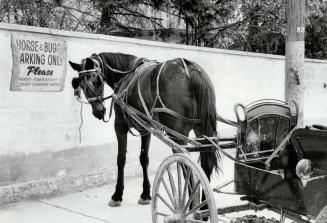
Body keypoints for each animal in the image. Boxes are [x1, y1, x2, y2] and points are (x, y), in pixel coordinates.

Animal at [70, 52, 222, 207]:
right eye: (81, 84)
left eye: (97, 82)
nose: (99, 111)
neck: (125, 75)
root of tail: (190, 70)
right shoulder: (146, 128)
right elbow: (144, 159)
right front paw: (145, 194)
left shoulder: (120, 125)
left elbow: (121, 158)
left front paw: (117, 195)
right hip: (203, 131)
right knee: (206, 163)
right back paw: (204, 207)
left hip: (177, 135)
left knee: (186, 166)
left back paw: (191, 206)